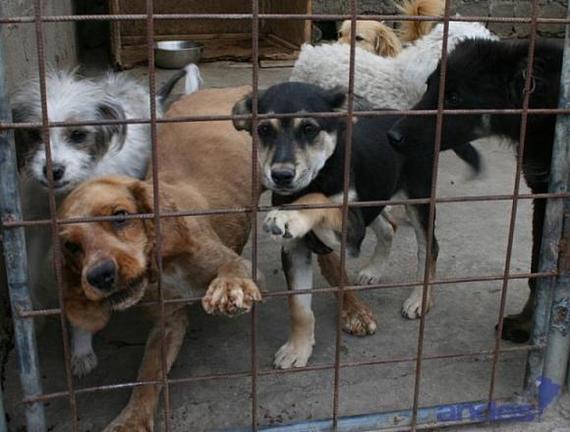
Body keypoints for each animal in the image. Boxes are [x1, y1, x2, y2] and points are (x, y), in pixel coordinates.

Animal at [59, 86, 263, 431]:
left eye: (120, 216)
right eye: (71, 246)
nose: (99, 276)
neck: (165, 264)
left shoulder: (229, 260)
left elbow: (233, 268)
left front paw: (229, 287)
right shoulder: (169, 321)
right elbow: (149, 374)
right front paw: (131, 419)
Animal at [233, 82, 447, 368]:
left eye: (309, 128)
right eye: (264, 129)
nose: (281, 176)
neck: (319, 176)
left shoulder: (351, 231)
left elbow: (318, 199)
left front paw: (290, 215)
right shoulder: (295, 250)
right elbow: (299, 307)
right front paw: (298, 349)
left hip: (418, 198)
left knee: (428, 248)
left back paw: (419, 299)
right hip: (375, 198)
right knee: (387, 228)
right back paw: (373, 270)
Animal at [387, 38, 563, 343]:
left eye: (454, 98)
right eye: (429, 85)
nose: (392, 136)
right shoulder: (543, 195)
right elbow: (538, 268)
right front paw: (528, 323)